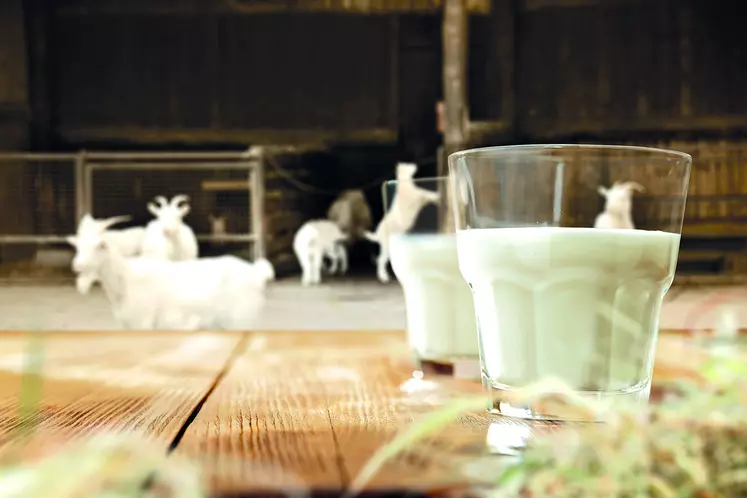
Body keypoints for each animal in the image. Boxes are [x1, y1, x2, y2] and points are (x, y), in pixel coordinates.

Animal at [68, 214, 274, 330]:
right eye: (78, 245)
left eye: (100, 245)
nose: (78, 265)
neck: (126, 280)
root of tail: (257, 273)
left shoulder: (143, 324)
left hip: (242, 320)